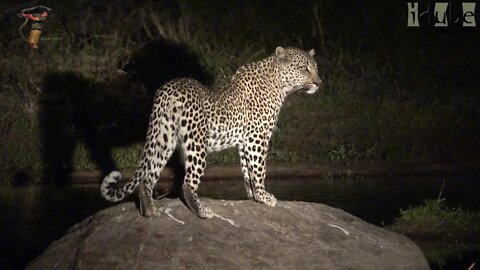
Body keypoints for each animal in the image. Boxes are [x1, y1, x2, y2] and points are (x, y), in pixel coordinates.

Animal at [100, 46, 322, 218]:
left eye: (316, 67)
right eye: (304, 68)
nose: (318, 83)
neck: (280, 85)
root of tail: (167, 89)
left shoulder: (244, 142)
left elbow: (247, 171)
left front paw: (252, 197)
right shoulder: (257, 138)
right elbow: (259, 170)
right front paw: (264, 196)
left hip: (164, 136)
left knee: (147, 176)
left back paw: (150, 212)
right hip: (196, 142)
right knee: (187, 184)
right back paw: (202, 212)